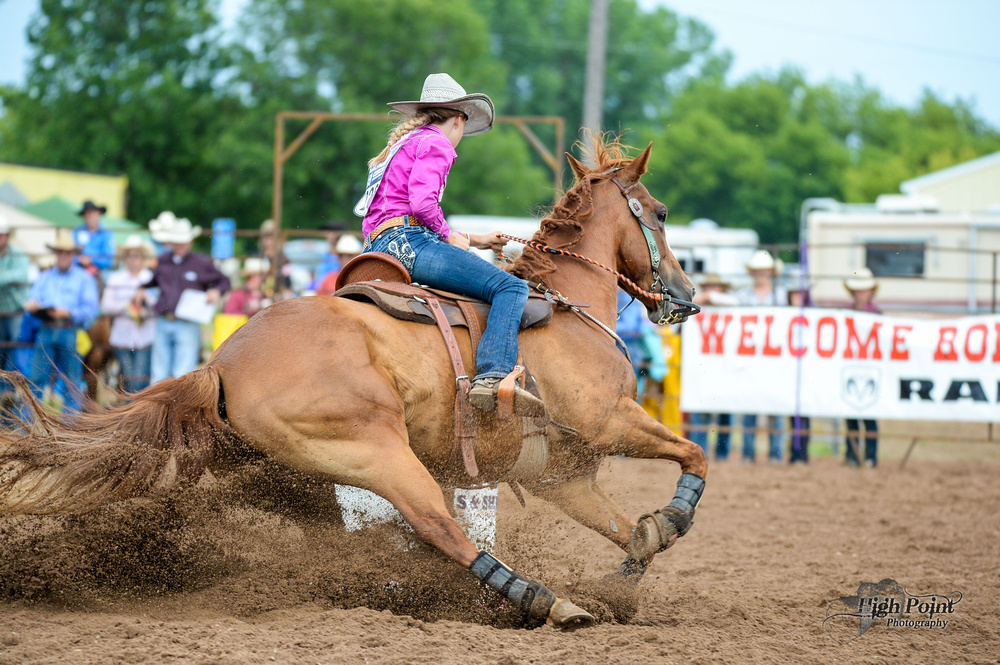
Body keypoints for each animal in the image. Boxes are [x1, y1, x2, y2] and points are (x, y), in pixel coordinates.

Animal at [1, 139, 704, 628]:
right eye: (662, 212)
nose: (686, 295)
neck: (564, 307)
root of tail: (222, 364)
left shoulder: (562, 472)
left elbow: (625, 528)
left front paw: (631, 570)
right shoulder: (609, 420)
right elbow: (693, 454)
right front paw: (669, 520)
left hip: (296, 479)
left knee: (374, 539)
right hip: (375, 450)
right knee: (437, 528)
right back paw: (545, 601)